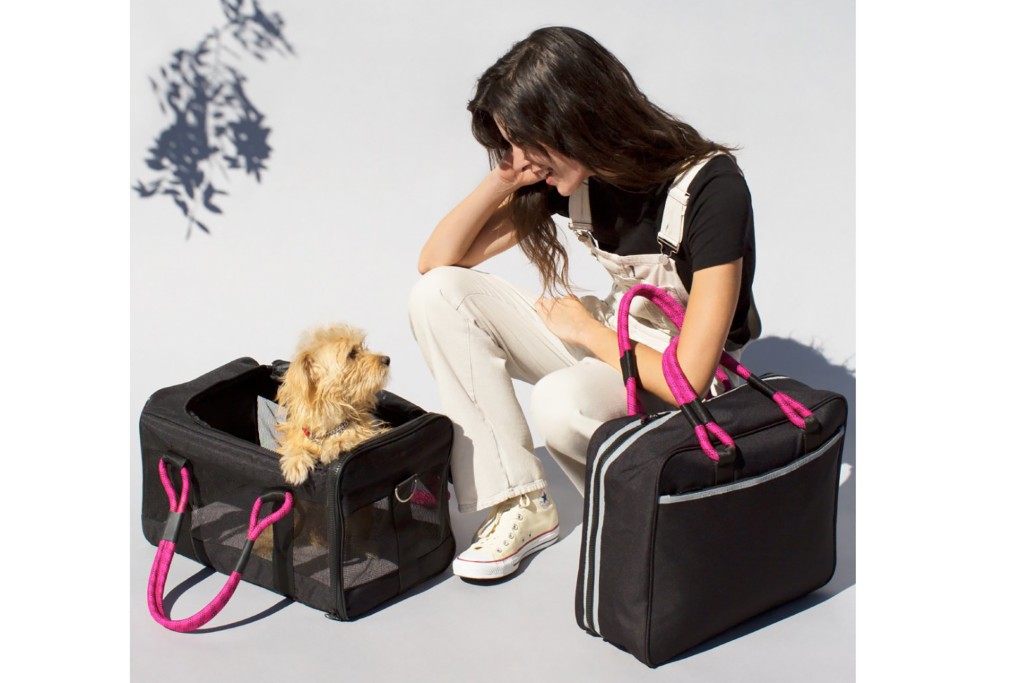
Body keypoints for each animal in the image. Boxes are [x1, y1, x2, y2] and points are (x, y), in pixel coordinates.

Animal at [274, 325, 389, 485]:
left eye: (362, 347)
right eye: (351, 354)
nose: (387, 359)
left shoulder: (373, 431)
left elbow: (357, 435)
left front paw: (336, 444)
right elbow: (294, 443)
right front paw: (295, 461)